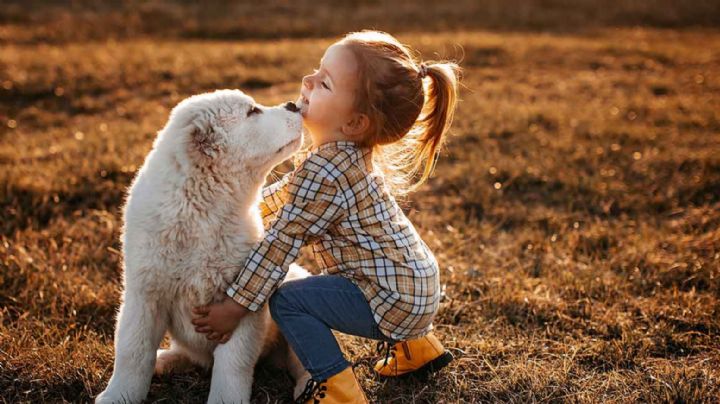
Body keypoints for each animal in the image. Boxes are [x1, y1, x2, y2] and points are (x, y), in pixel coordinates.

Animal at [94, 90, 308, 402]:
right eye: (252, 112)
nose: (293, 104)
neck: (202, 209)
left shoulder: (238, 305)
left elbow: (233, 363)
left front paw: (226, 399)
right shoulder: (144, 293)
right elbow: (132, 351)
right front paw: (118, 395)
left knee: (301, 360)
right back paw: (164, 360)